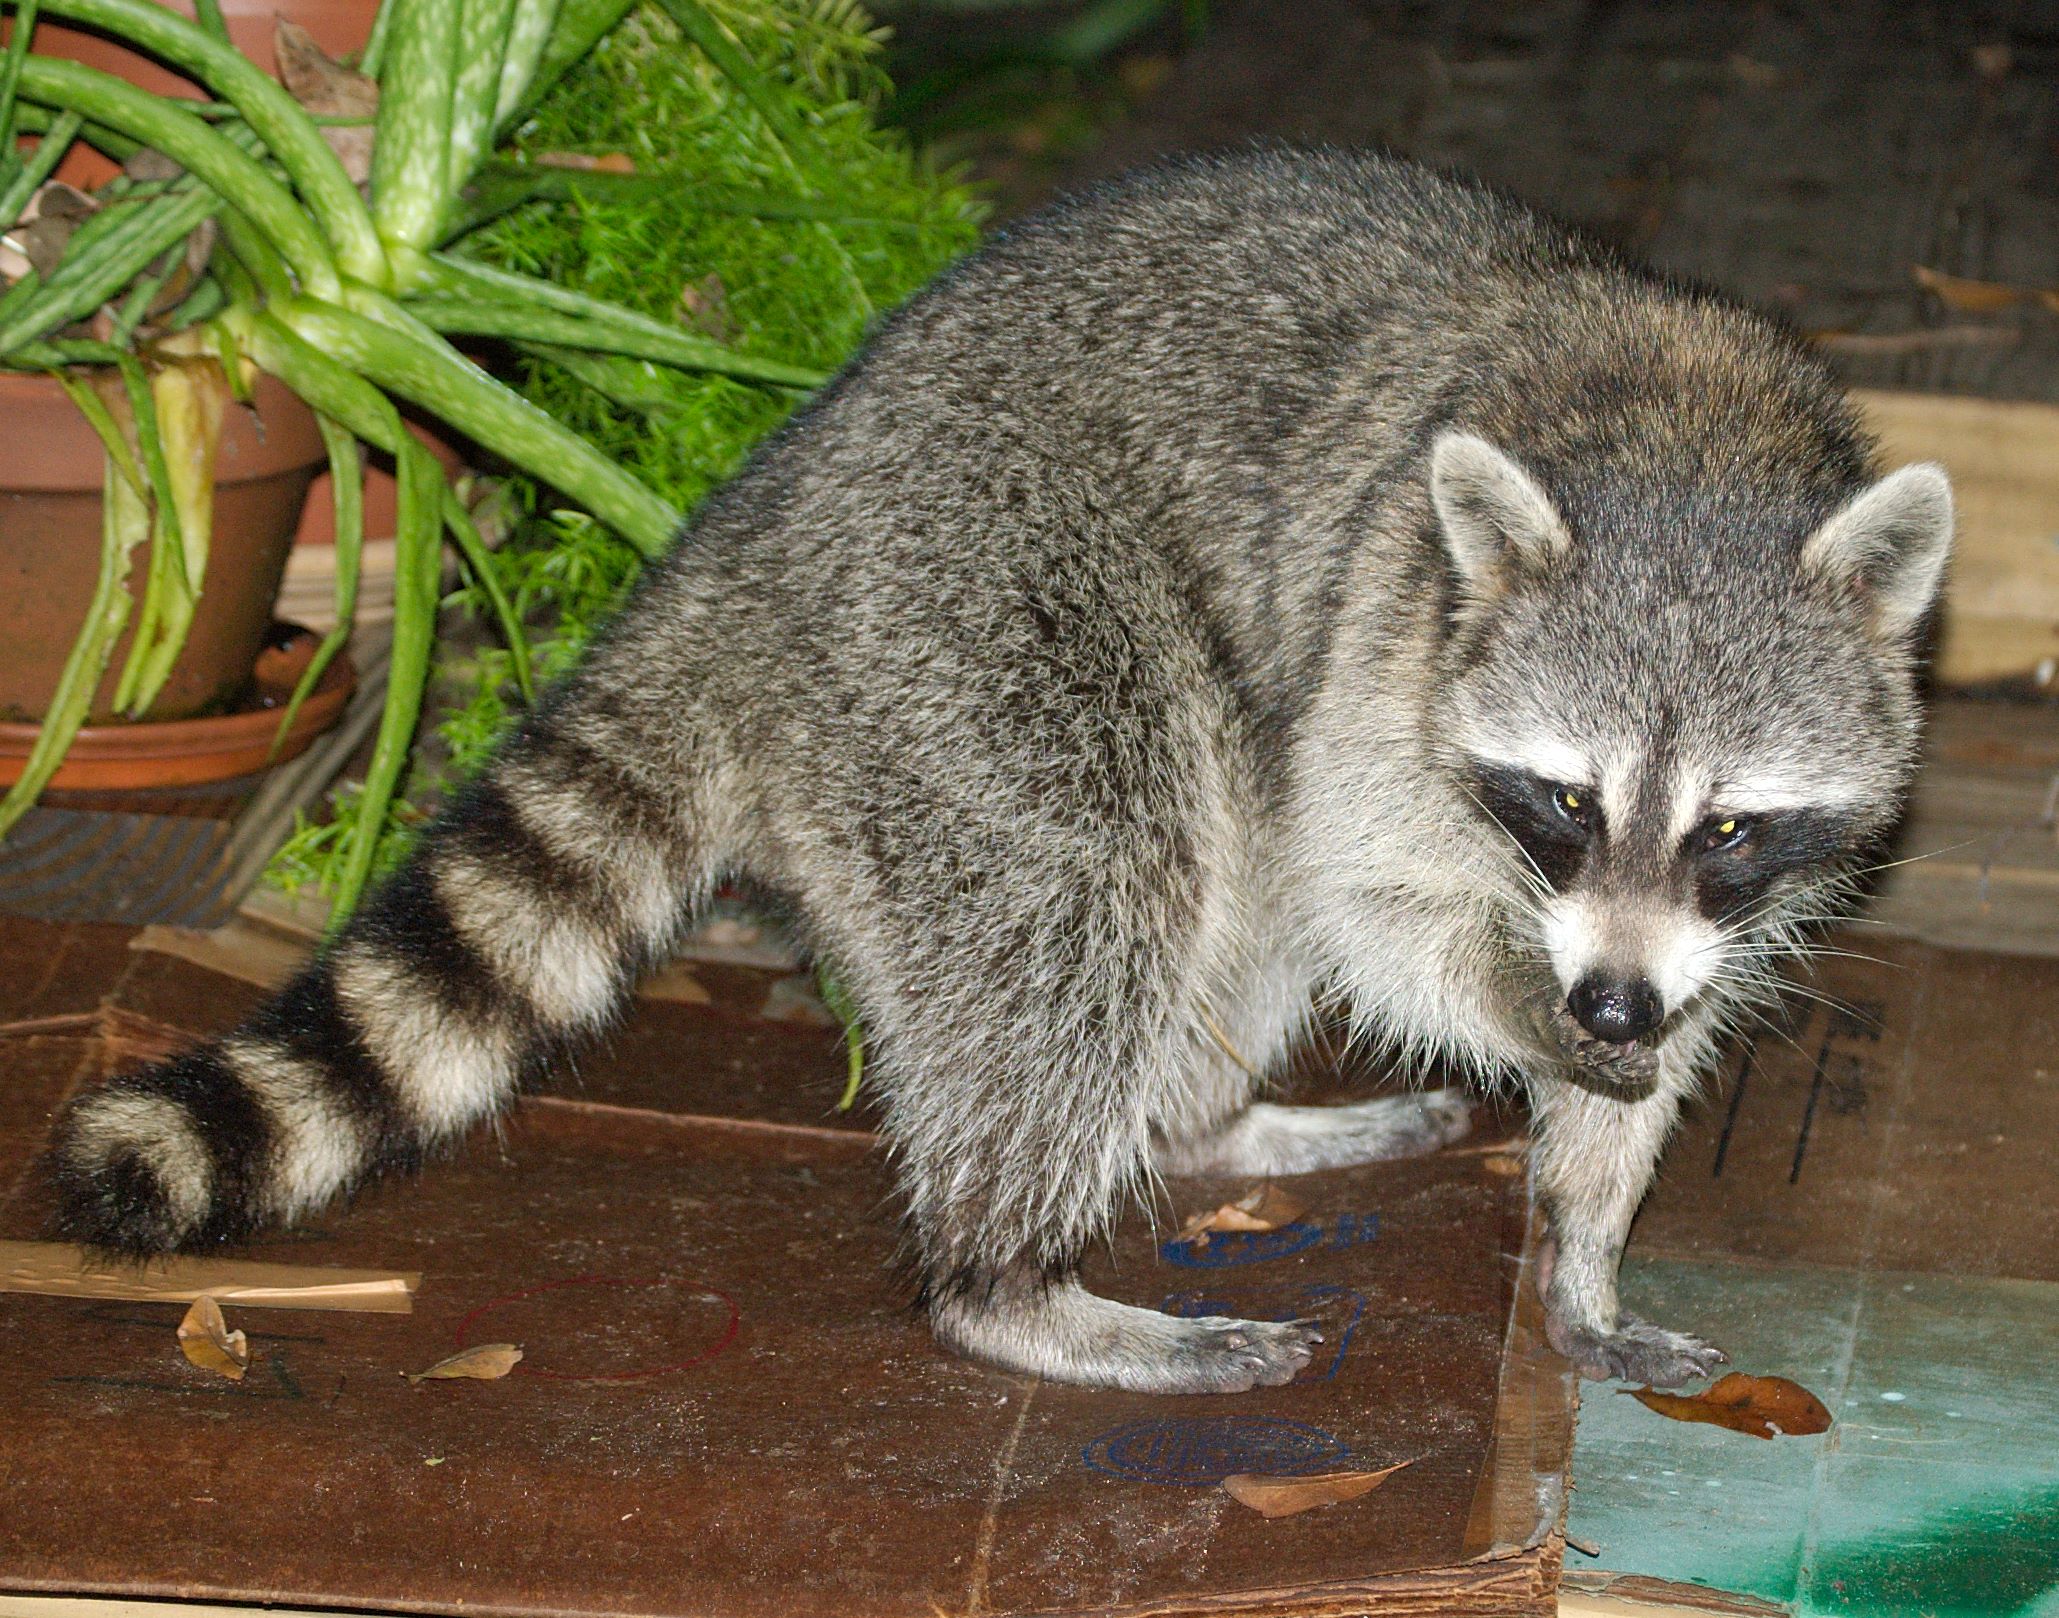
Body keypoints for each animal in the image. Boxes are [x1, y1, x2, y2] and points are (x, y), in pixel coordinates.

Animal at [44, 145, 1943, 1391]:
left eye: (1729, 823)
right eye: (1562, 797)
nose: (1604, 1004)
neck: (1683, 446)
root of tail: (750, 531)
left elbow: (1640, 993)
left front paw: (1586, 1227)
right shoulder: (1379, 642)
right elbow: (1368, 891)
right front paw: (1517, 1016)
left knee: (1222, 913)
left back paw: (1212, 1117)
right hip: (973, 607)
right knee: (1099, 880)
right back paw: (1009, 1274)